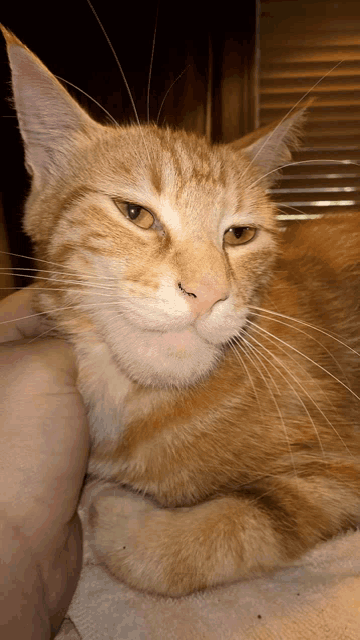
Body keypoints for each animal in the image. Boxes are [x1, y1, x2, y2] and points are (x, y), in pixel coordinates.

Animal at [1, 23, 358, 596]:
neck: (139, 404)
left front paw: (114, 512)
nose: (209, 291)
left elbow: (216, 535)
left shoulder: (335, 474)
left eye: (239, 234)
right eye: (135, 214)